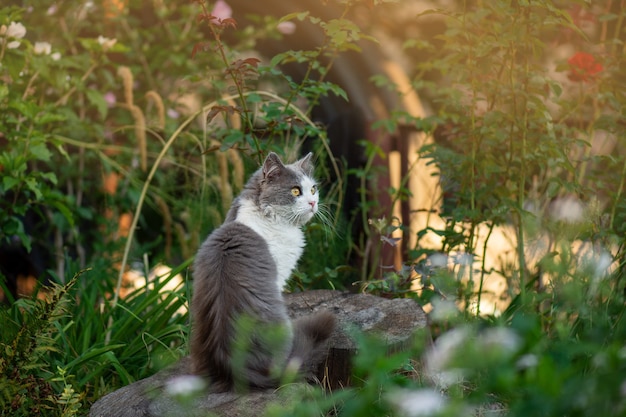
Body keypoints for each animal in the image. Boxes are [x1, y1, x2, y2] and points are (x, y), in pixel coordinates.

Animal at [189, 151, 334, 392]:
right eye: (296, 191)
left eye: (313, 189)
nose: (313, 202)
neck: (267, 216)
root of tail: (234, 366)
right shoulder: (279, 276)